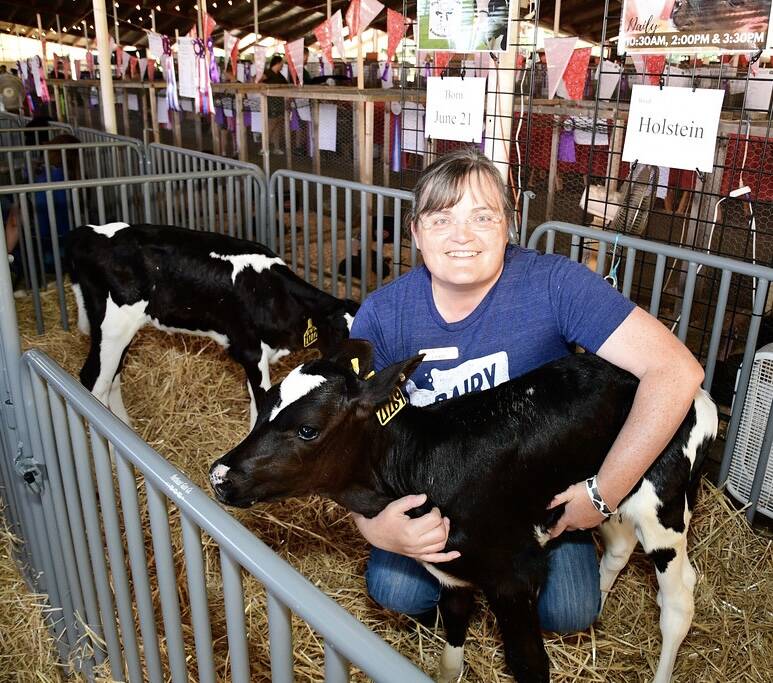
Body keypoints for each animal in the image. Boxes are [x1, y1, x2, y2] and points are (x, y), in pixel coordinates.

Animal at [68, 224, 358, 428]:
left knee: (113, 377)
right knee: (94, 381)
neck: (271, 292)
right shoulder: (250, 352)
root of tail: (87, 233)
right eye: (340, 333)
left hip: (122, 332)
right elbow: (262, 404)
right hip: (112, 326)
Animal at [210, 342, 716, 683]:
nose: (219, 474)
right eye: (264, 408)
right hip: (620, 493)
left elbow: (529, 663)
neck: (419, 462)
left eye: (308, 429)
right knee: (617, 548)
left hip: (664, 504)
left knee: (678, 601)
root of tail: (703, 395)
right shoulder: (450, 569)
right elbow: (453, 633)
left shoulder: (516, 574)